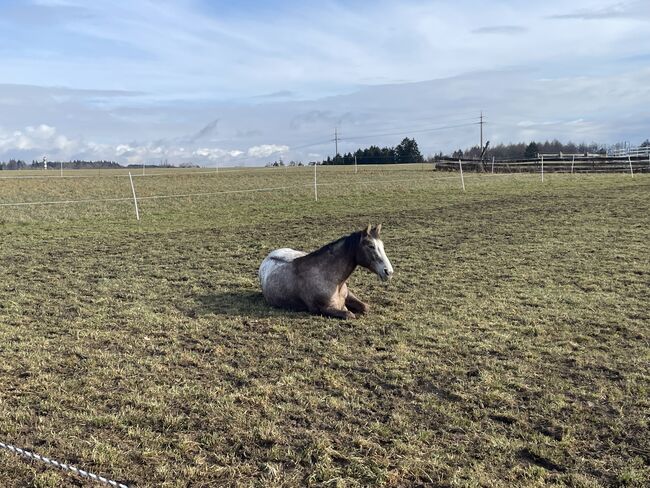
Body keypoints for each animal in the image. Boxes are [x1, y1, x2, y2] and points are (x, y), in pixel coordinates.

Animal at [259, 224, 393, 319]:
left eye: (382, 246)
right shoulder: (321, 308)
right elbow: (349, 314)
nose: (389, 272)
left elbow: (365, 307)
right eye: (371, 246)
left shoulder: (349, 295)